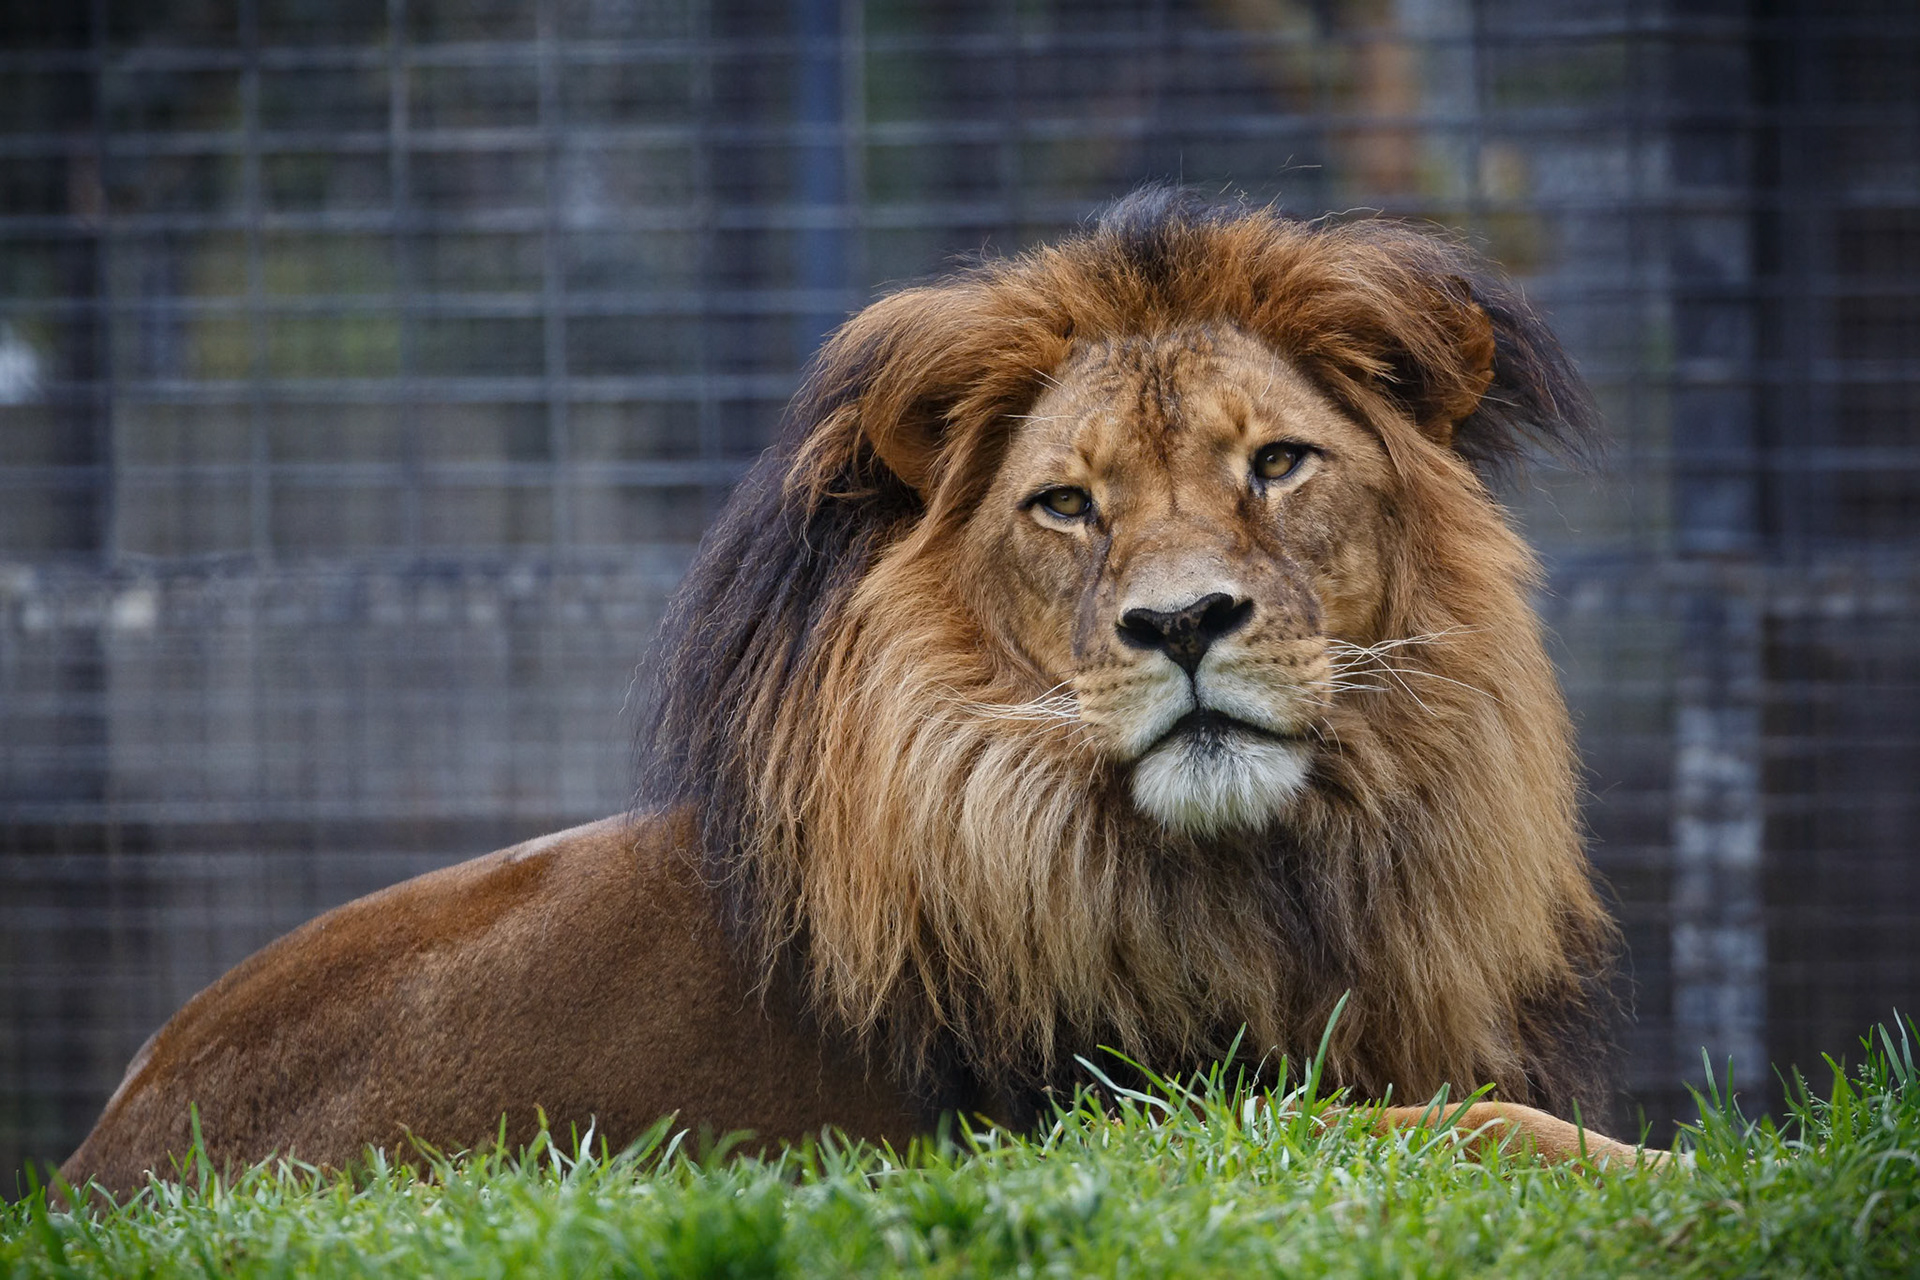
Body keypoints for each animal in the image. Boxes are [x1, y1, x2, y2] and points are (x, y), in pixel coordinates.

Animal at [61, 189, 1645, 1199]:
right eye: (1067, 503)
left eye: (1277, 464)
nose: (1182, 621)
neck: (1293, 869)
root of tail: (94, 1159)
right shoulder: (1119, 1120)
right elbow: (1475, 1125)